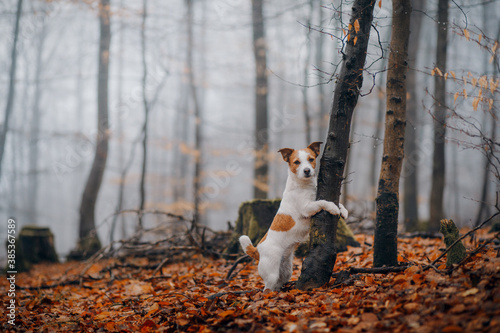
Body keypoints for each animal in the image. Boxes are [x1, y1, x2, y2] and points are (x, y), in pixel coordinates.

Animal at [238, 141, 348, 290]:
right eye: (297, 162)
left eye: (311, 159)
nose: (307, 170)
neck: (304, 186)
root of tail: (257, 250)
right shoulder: (307, 208)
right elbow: (323, 202)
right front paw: (333, 208)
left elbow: (337, 203)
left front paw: (343, 210)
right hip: (271, 274)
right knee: (266, 289)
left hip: (286, 272)